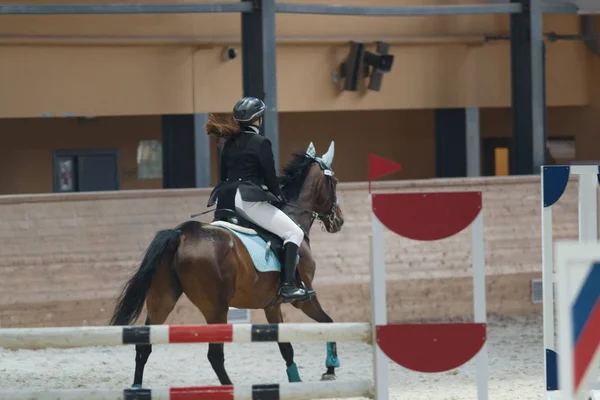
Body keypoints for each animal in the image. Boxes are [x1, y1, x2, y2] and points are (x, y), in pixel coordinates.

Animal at [108, 141, 342, 388]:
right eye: (334, 182)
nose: (339, 221)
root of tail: (181, 233)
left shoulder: (271, 305)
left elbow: (286, 347)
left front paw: (295, 378)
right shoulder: (304, 298)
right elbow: (328, 322)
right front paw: (330, 367)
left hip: (162, 300)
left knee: (144, 345)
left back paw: (137, 387)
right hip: (216, 308)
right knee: (214, 355)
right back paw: (229, 388)